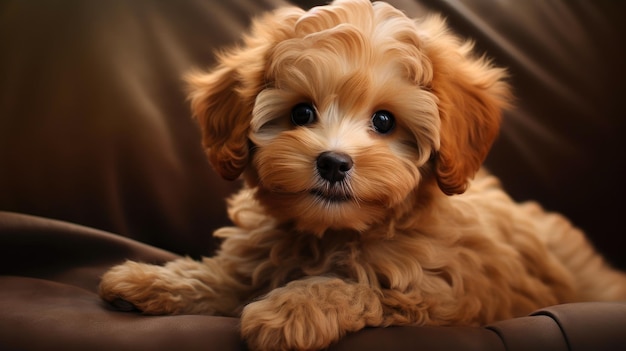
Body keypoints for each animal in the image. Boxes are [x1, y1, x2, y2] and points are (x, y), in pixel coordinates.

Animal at [97, 0, 624, 350]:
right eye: (301, 113)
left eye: (385, 121)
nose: (333, 162)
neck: (333, 232)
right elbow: (227, 274)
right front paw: (150, 279)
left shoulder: (439, 296)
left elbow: (358, 287)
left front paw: (290, 309)